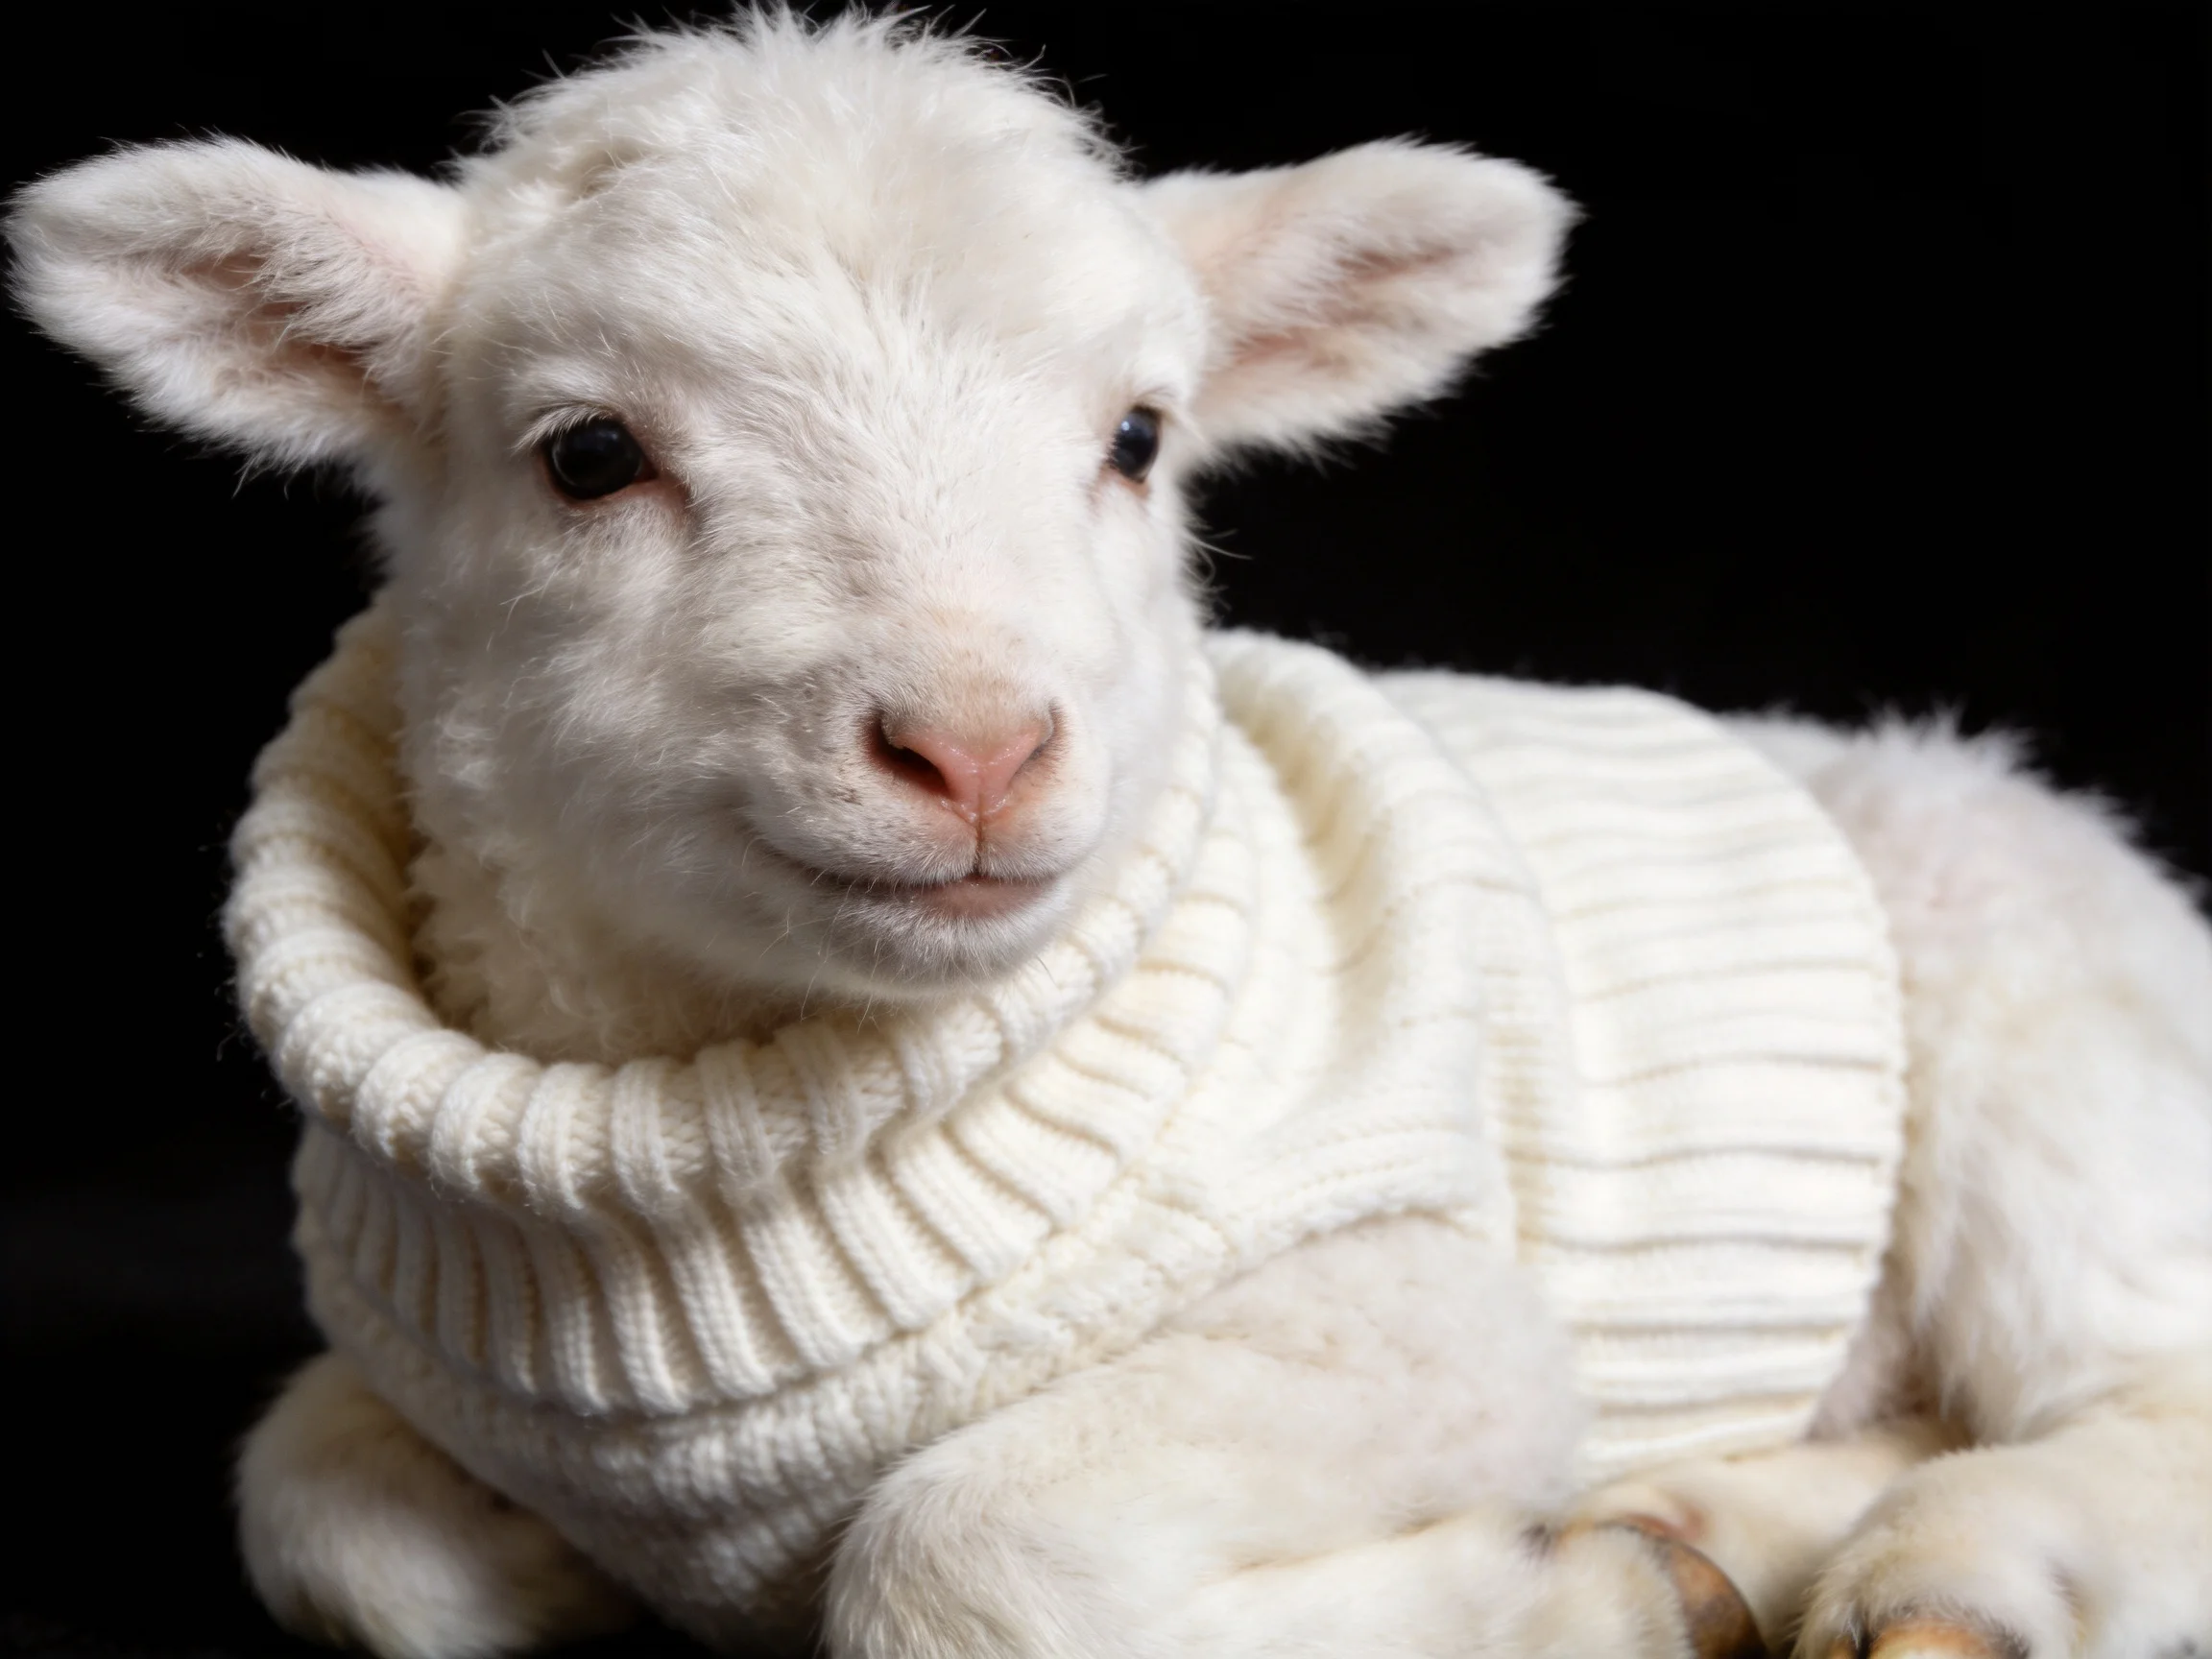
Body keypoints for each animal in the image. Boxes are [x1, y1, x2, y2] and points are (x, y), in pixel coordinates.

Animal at [11, 11, 2209, 1658]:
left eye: (1139, 439)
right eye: (587, 457)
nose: (975, 747)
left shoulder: (1422, 1312)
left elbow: (970, 1548)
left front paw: (1567, 1605)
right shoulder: (393, 1368)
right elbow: (332, 1527)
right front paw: (532, 1562)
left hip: (2037, 1030)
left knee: (2155, 1403)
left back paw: (1930, 1571)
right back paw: (1722, 1523)